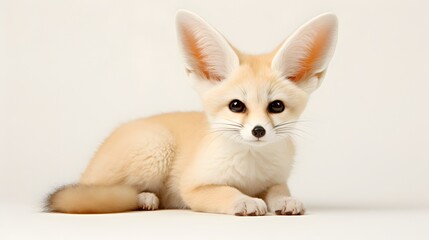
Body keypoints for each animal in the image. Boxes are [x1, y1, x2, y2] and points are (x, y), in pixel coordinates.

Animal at [46, 9, 334, 216]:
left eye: (276, 106)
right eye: (236, 106)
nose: (258, 131)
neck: (250, 169)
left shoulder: (275, 180)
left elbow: (277, 192)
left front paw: (286, 200)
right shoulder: (193, 187)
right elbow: (226, 192)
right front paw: (245, 201)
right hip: (156, 147)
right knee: (109, 191)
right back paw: (144, 198)